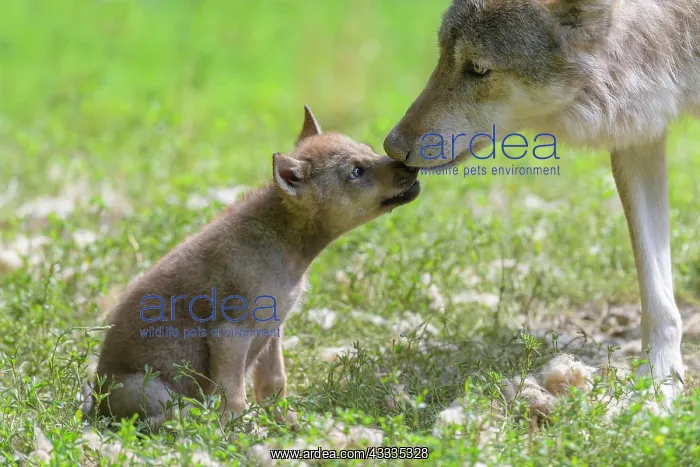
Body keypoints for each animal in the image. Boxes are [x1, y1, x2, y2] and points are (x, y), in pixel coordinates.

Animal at [84, 106, 420, 429]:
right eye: (356, 171)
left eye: (368, 150)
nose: (410, 166)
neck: (283, 244)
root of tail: (96, 407)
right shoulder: (230, 334)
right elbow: (234, 395)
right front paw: (238, 432)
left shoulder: (272, 329)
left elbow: (274, 383)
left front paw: (284, 423)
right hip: (152, 389)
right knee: (160, 419)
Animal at [384, 0, 700, 404]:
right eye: (442, 55)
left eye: (478, 69)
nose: (391, 147)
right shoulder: (638, 134)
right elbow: (656, 290)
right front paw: (658, 380)